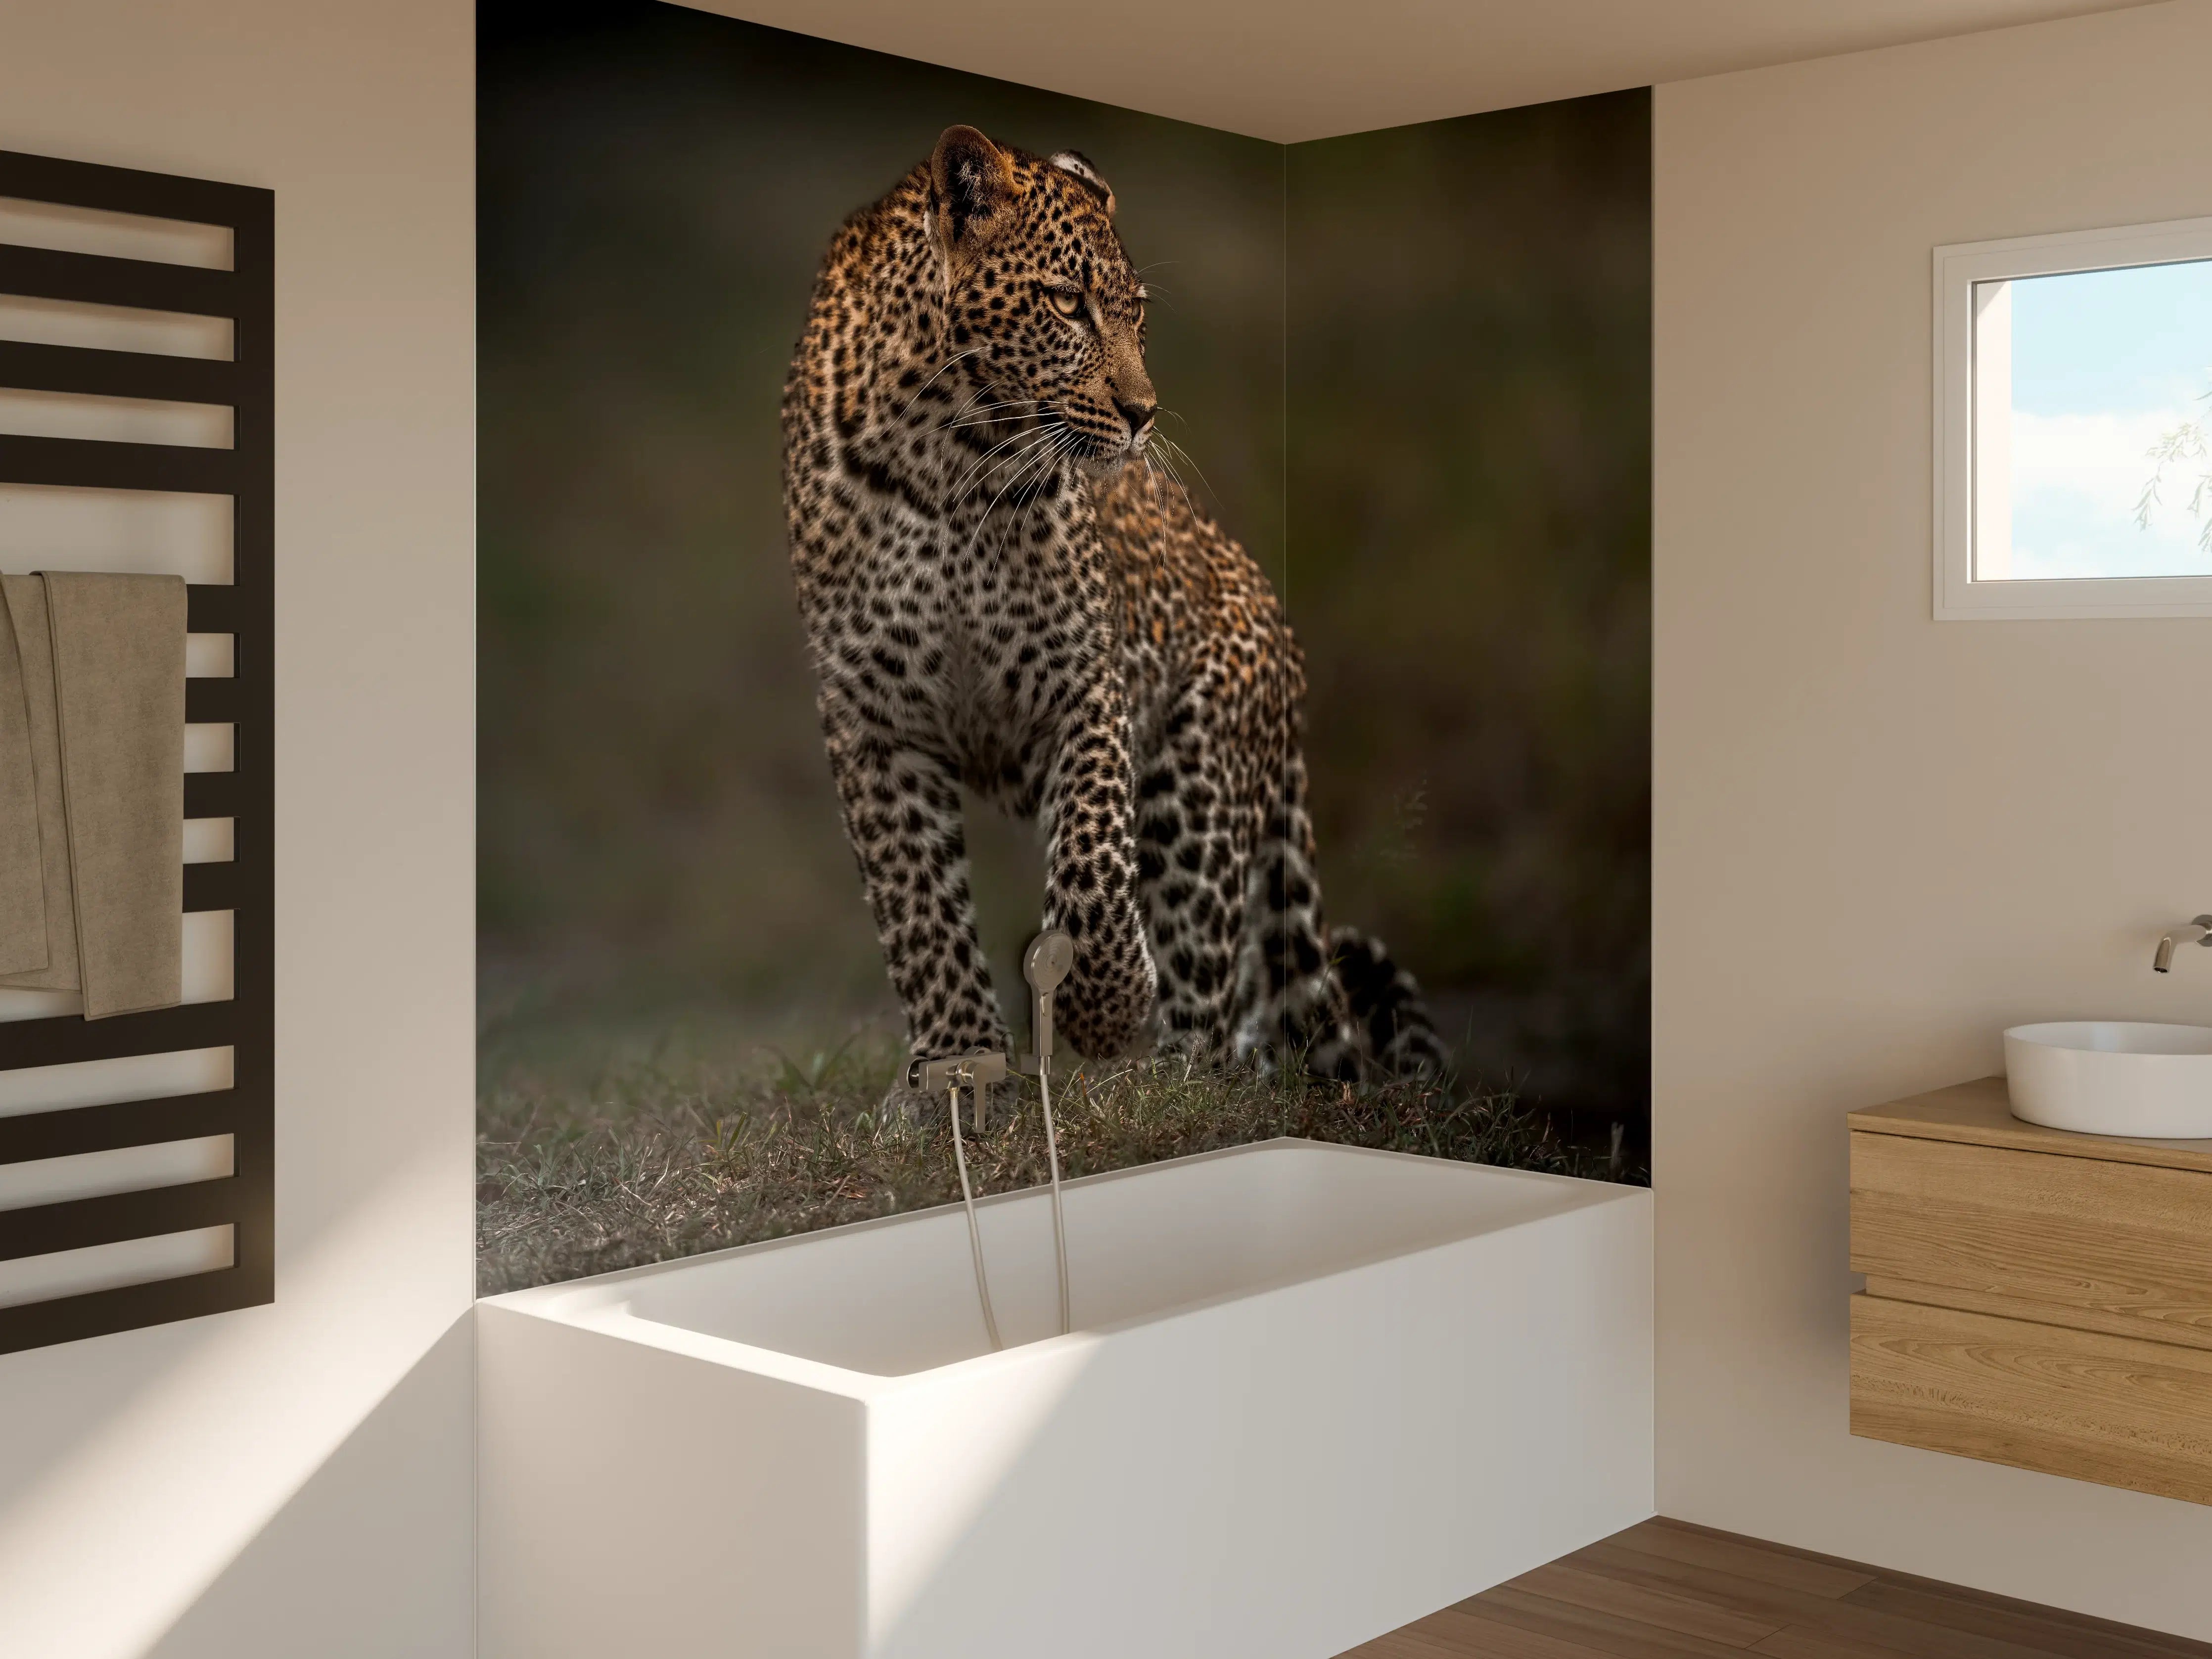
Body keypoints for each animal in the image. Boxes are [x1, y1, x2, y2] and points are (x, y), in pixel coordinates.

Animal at [780, 124, 1443, 1087]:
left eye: (1136, 315)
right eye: (1068, 304)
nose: (1143, 413)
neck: (947, 457)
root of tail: (1287, 652)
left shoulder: (1084, 684)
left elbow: (1093, 864)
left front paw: (1106, 1006)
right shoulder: (872, 719)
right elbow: (917, 910)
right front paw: (957, 1067)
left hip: (1196, 784)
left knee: (1210, 990)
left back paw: (1165, 1080)